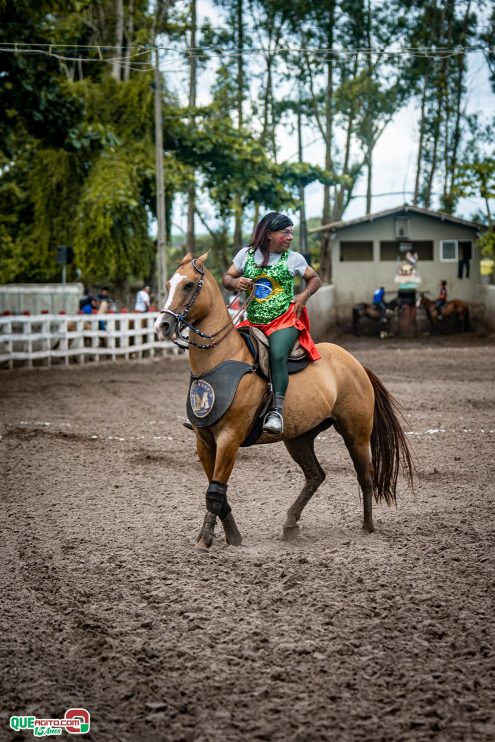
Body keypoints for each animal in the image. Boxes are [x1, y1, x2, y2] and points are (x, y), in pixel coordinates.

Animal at [154, 256, 414, 552]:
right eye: (168, 285)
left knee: (365, 476)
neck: (221, 359)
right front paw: (232, 536)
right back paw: (291, 523)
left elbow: (216, 491)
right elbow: (216, 490)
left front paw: (205, 539)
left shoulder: (229, 438)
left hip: (355, 434)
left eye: (188, 285)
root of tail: (356, 364)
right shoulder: (204, 440)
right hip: (299, 438)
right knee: (316, 475)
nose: (162, 325)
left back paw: (367, 528)